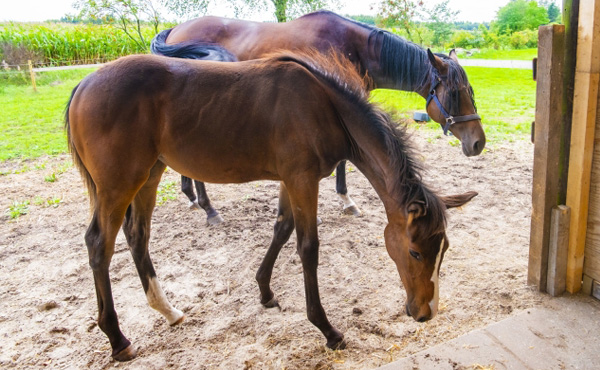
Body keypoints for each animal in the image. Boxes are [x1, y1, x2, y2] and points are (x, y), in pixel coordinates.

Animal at [64, 50, 478, 360]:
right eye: (415, 252)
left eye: (444, 250)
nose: (425, 312)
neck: (325, 106)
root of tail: (84, 84)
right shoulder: (302, 179)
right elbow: (308, 247)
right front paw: (327, 329)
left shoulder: (290, 180)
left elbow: (282, 228)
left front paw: (265, 292)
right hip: (118, 185)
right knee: (99, 244)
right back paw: (118, 340)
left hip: (149, 175)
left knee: (138, 236)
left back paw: (168, 311)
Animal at [152, 10, 486, 223]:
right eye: (454, 94)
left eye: (471, 90)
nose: (478, 143)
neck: (355, 47)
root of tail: (175, 30)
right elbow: (343, 162)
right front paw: (347, 202)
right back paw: (209, 209)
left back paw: (194, 199)